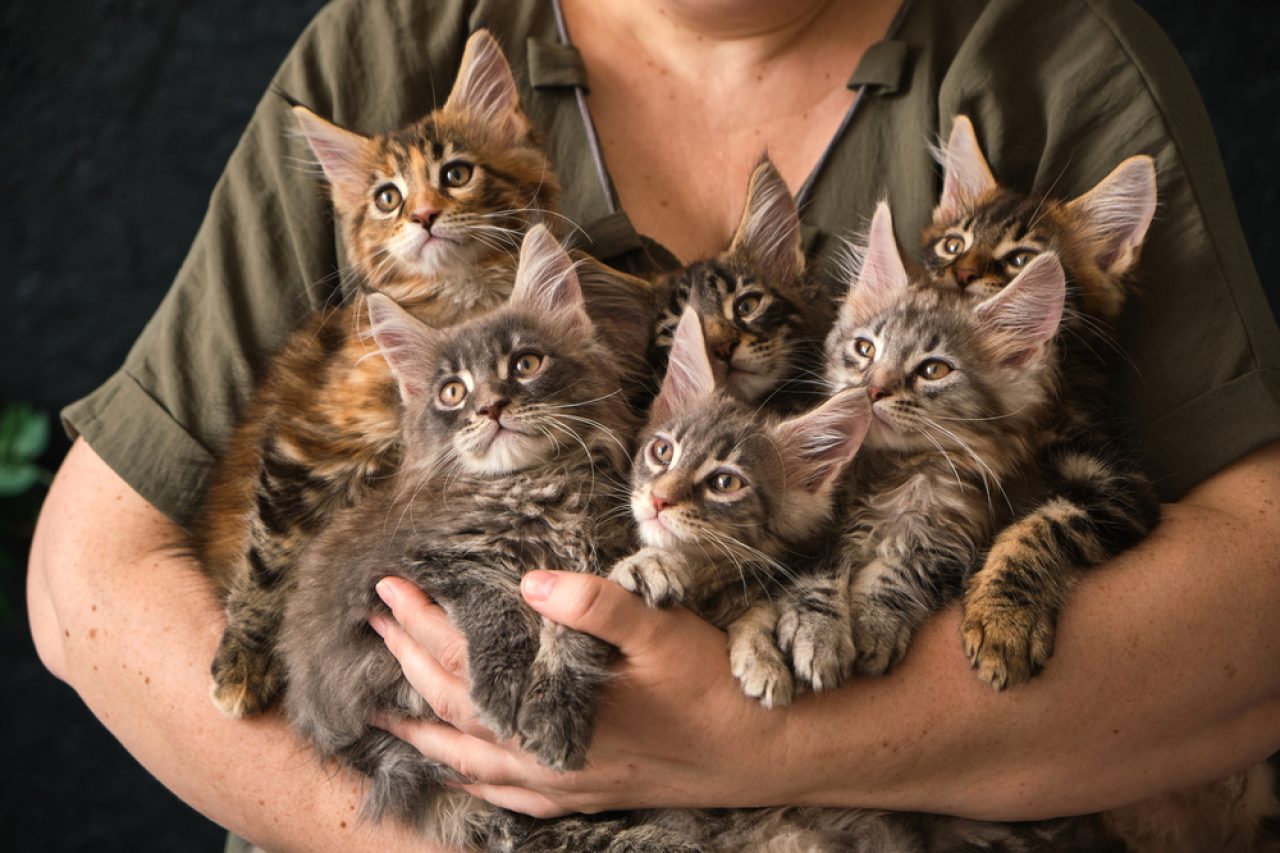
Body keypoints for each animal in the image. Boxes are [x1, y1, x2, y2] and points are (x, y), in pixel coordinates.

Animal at [195, 29, 565, 712]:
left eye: (456, 174)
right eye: (387, 198)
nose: (422, 216)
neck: (461, 307)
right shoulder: (307, 443)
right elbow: (270, 559)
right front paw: (243, 658)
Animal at [276, 225, 645, 845]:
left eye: (526, 363)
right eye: (452, 392)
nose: (491, 407)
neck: (533, 489)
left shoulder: (604, 562)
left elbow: (571, 635)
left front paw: (554, 713)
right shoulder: (419, 564)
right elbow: (494, 602)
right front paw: (500, 687)